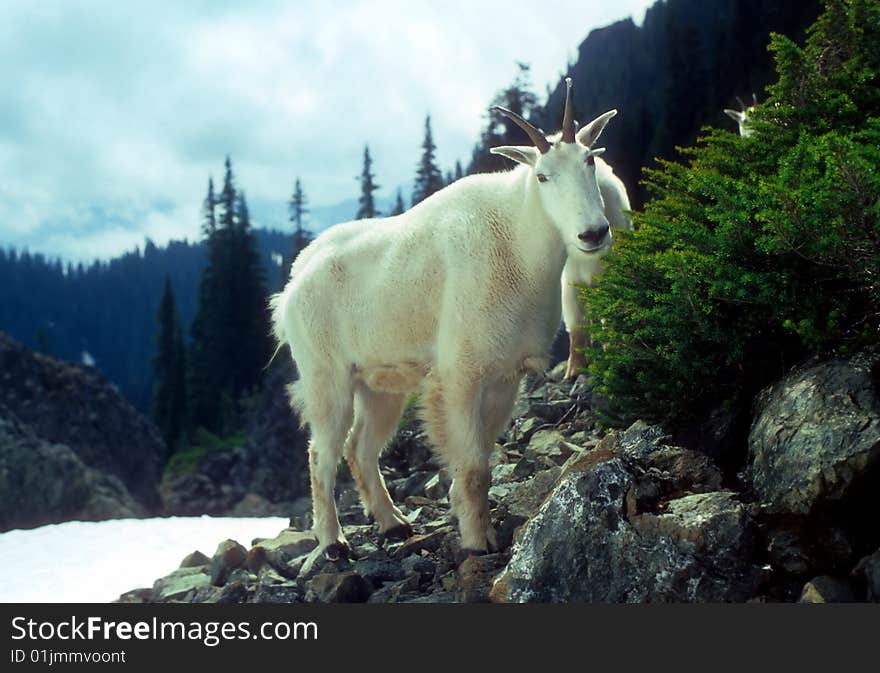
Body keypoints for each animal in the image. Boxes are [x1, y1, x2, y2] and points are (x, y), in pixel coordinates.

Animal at [272, 77, 616, 560]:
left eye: (590, 160)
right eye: (543, 176)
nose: (593, 233)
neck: (520, 242)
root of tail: (294, 281)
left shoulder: (505, 376)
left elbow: (481, 460)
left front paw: (463, 515)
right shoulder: (460, 373)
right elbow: (473, 467)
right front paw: (478, 541)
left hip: (379, 384)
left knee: (360, 448)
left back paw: (393, 523)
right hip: (327, 378)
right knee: (321, 454)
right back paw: (333, 540)